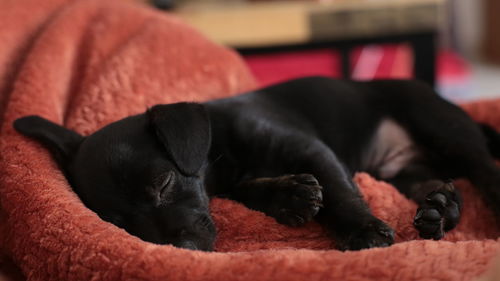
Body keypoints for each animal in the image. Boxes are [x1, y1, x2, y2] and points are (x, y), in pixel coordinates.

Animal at [12, 76, 500, 249]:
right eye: (116, 223)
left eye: (165, 183)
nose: (182, 251)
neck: (221, 152)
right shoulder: (231, 182)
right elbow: (253, 190)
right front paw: (289, 197)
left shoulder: (312, 150)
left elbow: (342, 192)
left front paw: (361, 231)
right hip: (404, 171)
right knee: (437, 184)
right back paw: (439, 209)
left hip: (441, 125)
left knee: (483, 167)